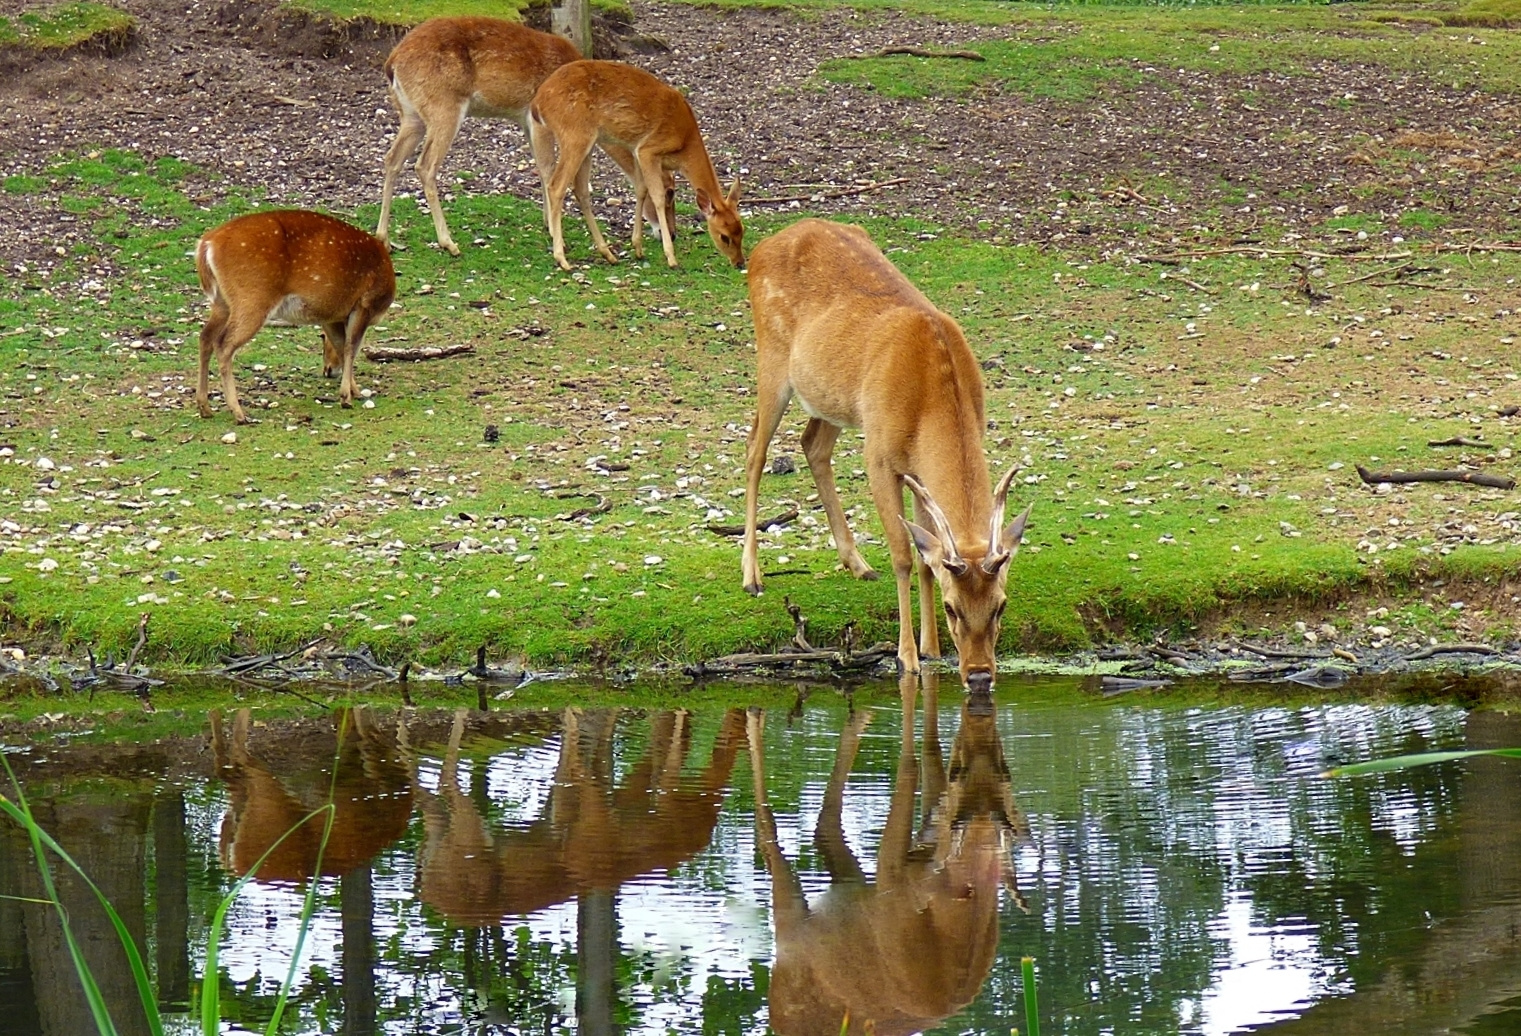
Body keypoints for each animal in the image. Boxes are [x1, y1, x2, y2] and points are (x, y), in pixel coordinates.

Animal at [193, 209, 395, 422]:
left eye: (321, 337)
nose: (328, 370)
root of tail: (206, 245)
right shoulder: (364, 302)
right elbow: (351, 347)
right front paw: (347, 396)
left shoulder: (330, 316)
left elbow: (342, 346)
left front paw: (353, 391)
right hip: (252, 298)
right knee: (223, 343)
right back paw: (239, 413)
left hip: (221, 302)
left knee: (205, 337)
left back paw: (204, 407)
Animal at [372, 17, 672, 257]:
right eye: (670, 191)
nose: (672, 232)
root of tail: (392, 63)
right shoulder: (537, 119)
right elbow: (548, 168)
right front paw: (554, 233)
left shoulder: (526, 121)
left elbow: (540, 168)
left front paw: (547, 223)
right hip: (444, 108)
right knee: (425, 165)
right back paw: (449, 243)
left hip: (412, 115)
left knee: (392, 158)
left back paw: (383, 238)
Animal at [526, 58, 745, 270]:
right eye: (724, 236)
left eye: (741, 230)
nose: (739, 262)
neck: (684, 143)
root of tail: (538, 103)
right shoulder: (649, 149)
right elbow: (656, 196)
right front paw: (671, 258)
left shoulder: (637, 150)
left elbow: (640, 190)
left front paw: (638, 248)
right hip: (575, 136)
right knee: (556, 186)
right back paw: (563, 260)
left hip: (586, 144)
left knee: (581, 190)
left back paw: (608, 255)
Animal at [739, 217, 1028, 687]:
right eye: (953, 608)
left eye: (1001, 604)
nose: (980, 675)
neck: (930, 399)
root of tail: (763, 244)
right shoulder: (878, 455)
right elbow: (904, 555)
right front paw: (906, 657)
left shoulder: (921, 471)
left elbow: (928, 555)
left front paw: (931, 648)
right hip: (772, 361)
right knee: (754, 450)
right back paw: (752, 576)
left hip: (831, 397)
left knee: (811, 444)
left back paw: (857, 563)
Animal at [745, 669, 1028, 1034]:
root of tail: (776, 1019)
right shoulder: (892, 878)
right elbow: (911, 767)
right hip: (793, 933)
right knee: (771, 840)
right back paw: (756, 715)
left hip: (846, 893)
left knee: (824, 826)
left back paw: (858, 717)